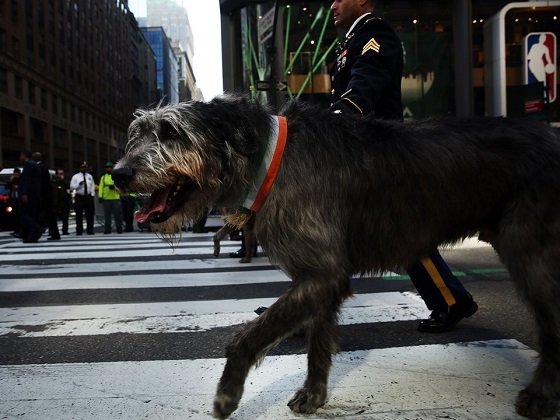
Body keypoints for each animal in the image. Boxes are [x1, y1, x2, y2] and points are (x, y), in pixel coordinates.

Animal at [114, 95, 560, 420]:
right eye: (139, 132)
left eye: (171, 132)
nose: (118, 173)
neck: (269, 160)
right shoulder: (319, 276)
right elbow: (319, 339)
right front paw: (314, 393)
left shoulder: (323, 274)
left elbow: (249, 336)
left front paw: (228, 393)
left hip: (530, 252)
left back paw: (540, 393)